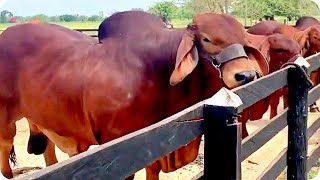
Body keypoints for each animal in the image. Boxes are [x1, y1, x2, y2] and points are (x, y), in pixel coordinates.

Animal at [0, 11, 268, 179]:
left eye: (243, 39)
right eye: (206, 39)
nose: (246, 75)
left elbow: (152, 171)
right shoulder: (119, 146)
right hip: (6, 119)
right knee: (5, 149)